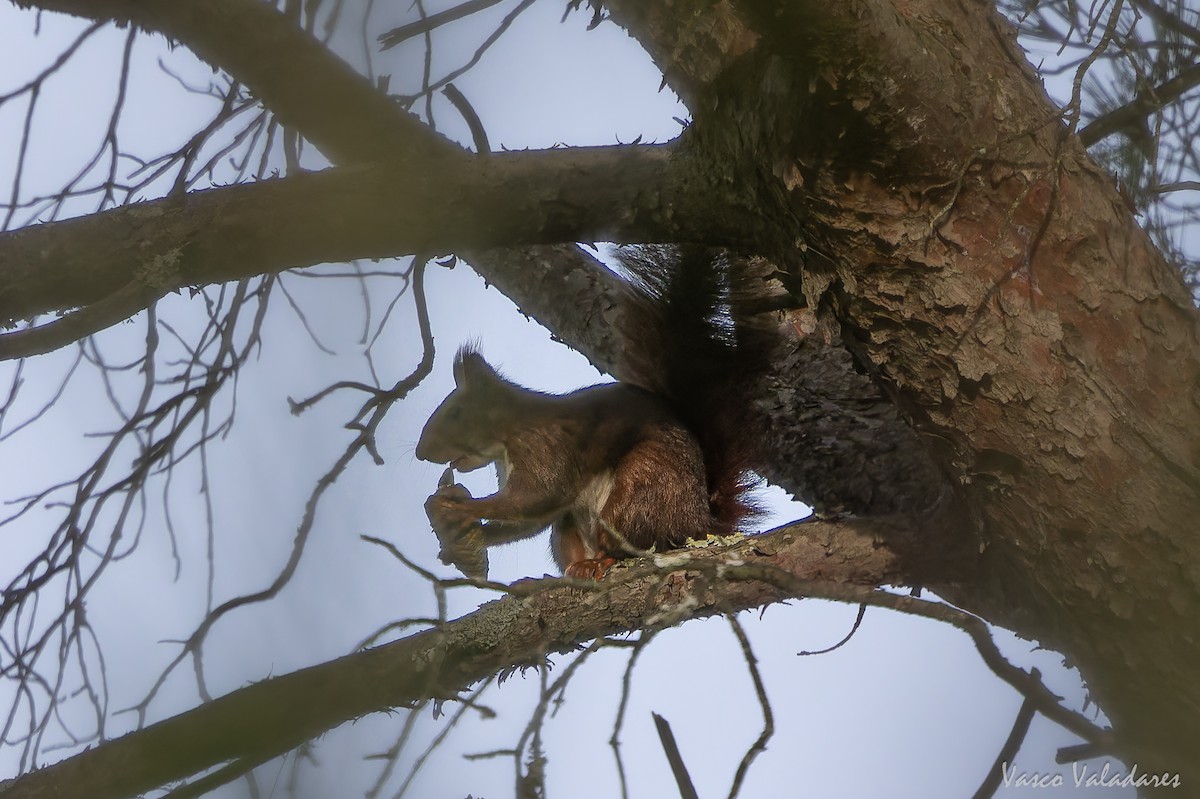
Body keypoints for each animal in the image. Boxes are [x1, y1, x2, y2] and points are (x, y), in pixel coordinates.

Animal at [415, 246, 772, 580]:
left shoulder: (544, 447)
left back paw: (609, 559)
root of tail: (701, 522)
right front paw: (469, 535)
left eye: (455, 412)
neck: (508, 436)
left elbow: (535, 496)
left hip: (643, 489)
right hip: (569, 528)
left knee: (635, 533)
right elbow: (529, 520)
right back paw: (581, 566)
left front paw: (462, 508)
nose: (420, 453)